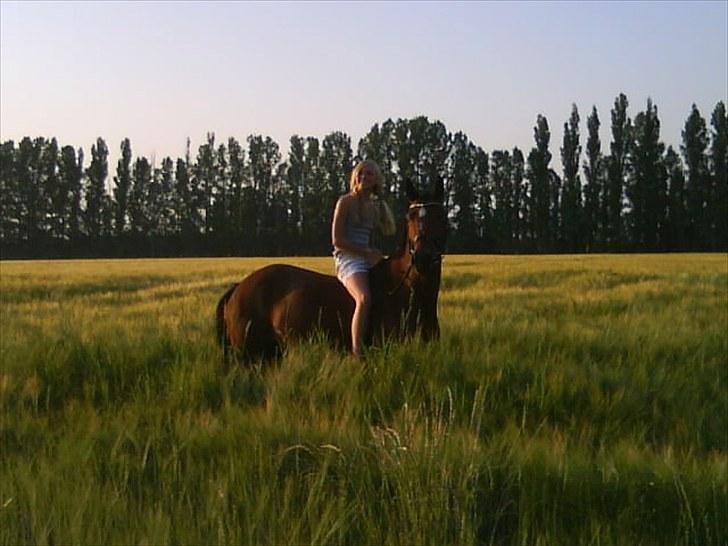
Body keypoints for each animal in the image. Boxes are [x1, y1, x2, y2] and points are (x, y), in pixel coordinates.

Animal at [215, 178, 447, 364]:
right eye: (410, 216)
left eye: (440, 216)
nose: (422, 258)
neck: (409, 292)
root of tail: (239, 287)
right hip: (251, 356)